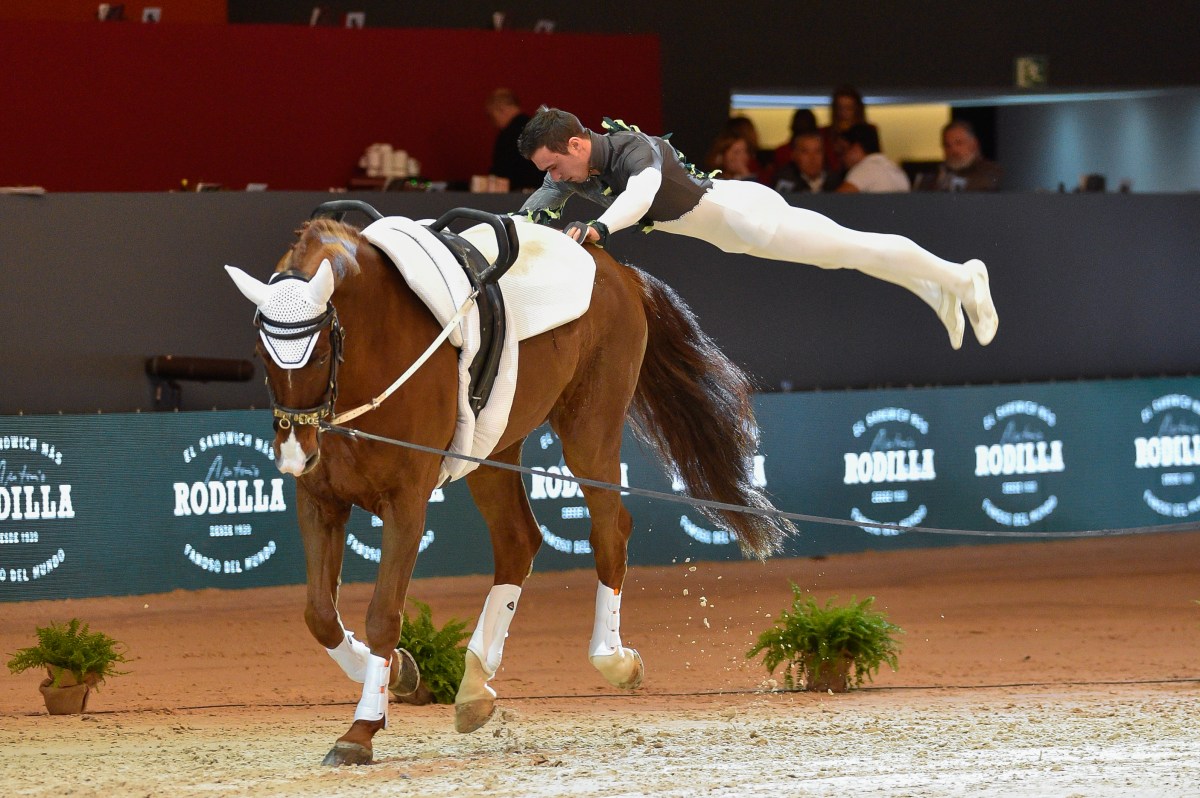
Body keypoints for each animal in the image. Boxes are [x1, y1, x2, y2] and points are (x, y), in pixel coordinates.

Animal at [226, 206, 793, 765]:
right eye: (260, 352)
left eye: (321, 353)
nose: (294, 452)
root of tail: (612, 266)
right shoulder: (319, 499)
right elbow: (319, 613)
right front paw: (403, 675)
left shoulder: (407, 502)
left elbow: (383, 614)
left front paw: (361, 729)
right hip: (493, 449)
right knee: (519, 541)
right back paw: (475, 686)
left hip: (589, 429)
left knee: (610, 530)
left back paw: (613, 660)